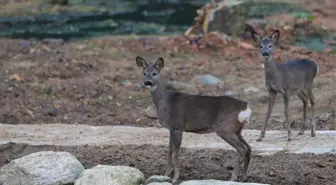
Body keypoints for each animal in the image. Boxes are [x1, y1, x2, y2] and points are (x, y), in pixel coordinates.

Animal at [135, 56, 251, 184]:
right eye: (144, 73)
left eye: (154, 73)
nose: (147, 82)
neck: (165, 101)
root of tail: (245, 107)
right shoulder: (171, 128)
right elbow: (169, 150)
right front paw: (166, 173)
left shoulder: (178, 126)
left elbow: (176, 152)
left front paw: (175, 178)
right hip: (236, 130)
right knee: (249, 148)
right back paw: (244, 177)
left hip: (225, 129)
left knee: (242, 149)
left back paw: (233, 177)